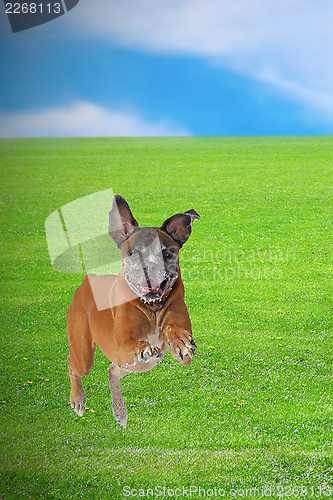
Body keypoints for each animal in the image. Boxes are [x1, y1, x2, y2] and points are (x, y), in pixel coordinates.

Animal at [66, 195, 198, 426]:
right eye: (133, 252)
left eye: (166, 252)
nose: (150, 266)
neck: (152, 307)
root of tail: (87, 279)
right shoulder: (123, 347)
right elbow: (136, 344)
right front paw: (145, 348)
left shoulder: (182, 353)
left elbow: (173, 328)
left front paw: (180, 339)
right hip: (84, 354)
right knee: (72, 364)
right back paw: (78, 399)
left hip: (130, 365)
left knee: (111, 371)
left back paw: (119, 411)